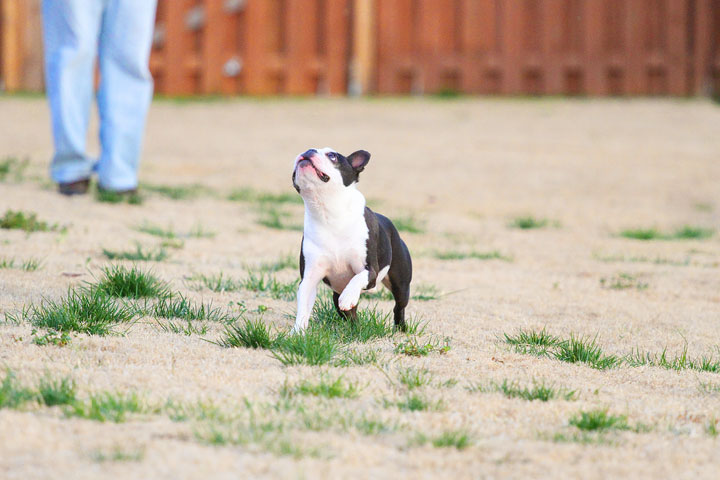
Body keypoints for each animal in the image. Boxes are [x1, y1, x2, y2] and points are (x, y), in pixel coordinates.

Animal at [292, 148, 410, 332]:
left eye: (332, 156)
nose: (308, 151)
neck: (328, 212)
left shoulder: (370, 271)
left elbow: (358, 278)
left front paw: (348, 297)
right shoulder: (309, 279)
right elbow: (303, 307)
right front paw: (297, 332)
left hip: (401, 283)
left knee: (399, 305)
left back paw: (400, 328)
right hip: (337, 295)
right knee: (348, 312)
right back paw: (355, 328)